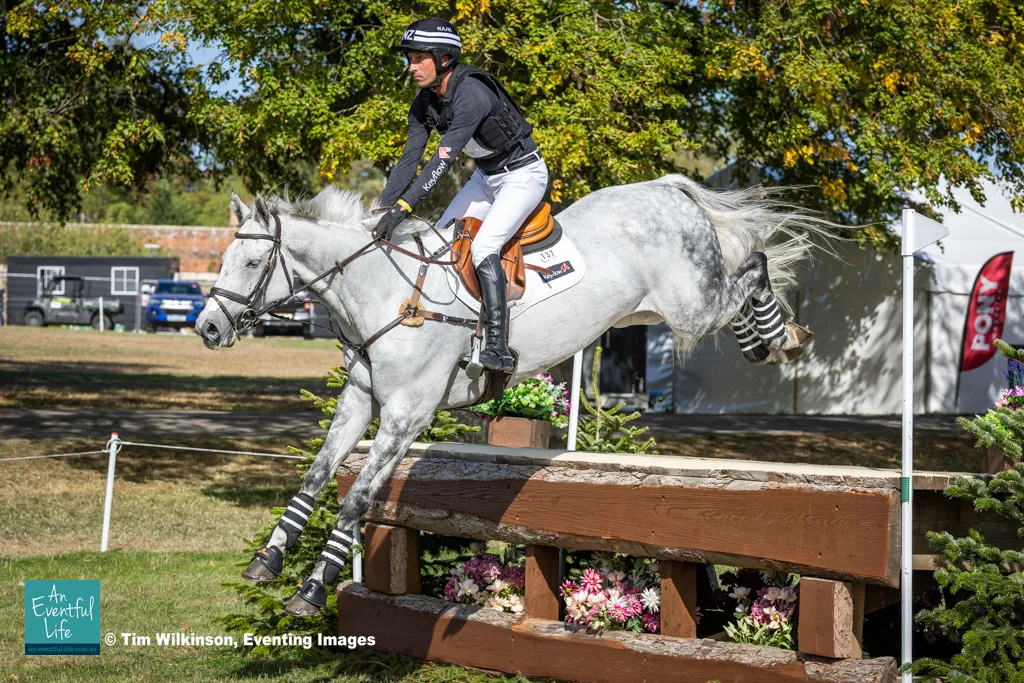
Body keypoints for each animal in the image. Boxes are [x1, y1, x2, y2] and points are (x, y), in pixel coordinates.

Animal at [195, 173, 837, 616]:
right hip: (650, 309)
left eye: (250, 262)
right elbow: (314, 477)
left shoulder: (405, 415)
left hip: (689, 307)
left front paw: (311, 589)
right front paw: (267, 561)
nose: (207, 329)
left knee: (752, 265)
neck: (381, 293)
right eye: (224, 258)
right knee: (741, 273)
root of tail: (667, 188)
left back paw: (780, 337)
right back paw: (769, 337)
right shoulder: (359, 401)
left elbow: (356, 499)